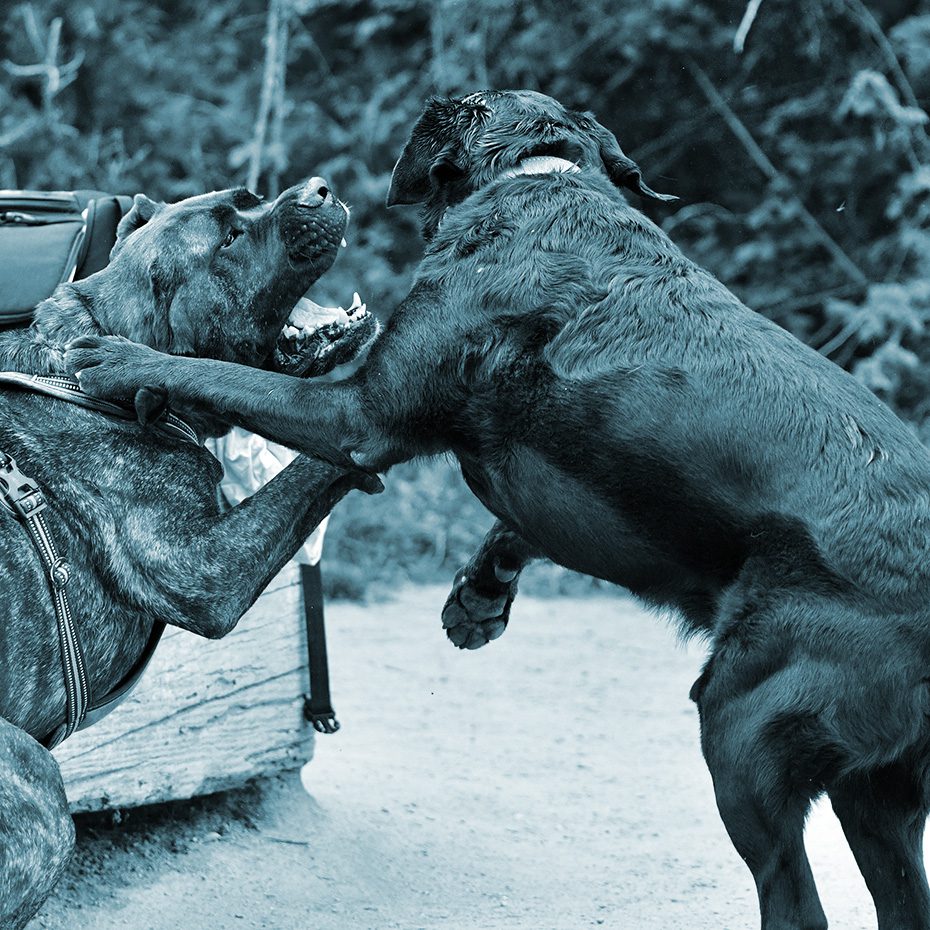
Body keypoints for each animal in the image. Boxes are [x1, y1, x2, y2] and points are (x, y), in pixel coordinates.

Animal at [1, 178, 380, 924]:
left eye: (252, 198)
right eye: (229, 237)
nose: (319, 189)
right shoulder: (208, 568)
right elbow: (318, 459)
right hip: (36, 794)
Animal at [67, 92, 930, 928]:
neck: (537, 175)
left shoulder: (360, 416)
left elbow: (222, 376)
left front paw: (121, 358)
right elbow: (514, 530)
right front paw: (478, 600)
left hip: (742, 733)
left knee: (796, 901)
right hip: (875, 802)